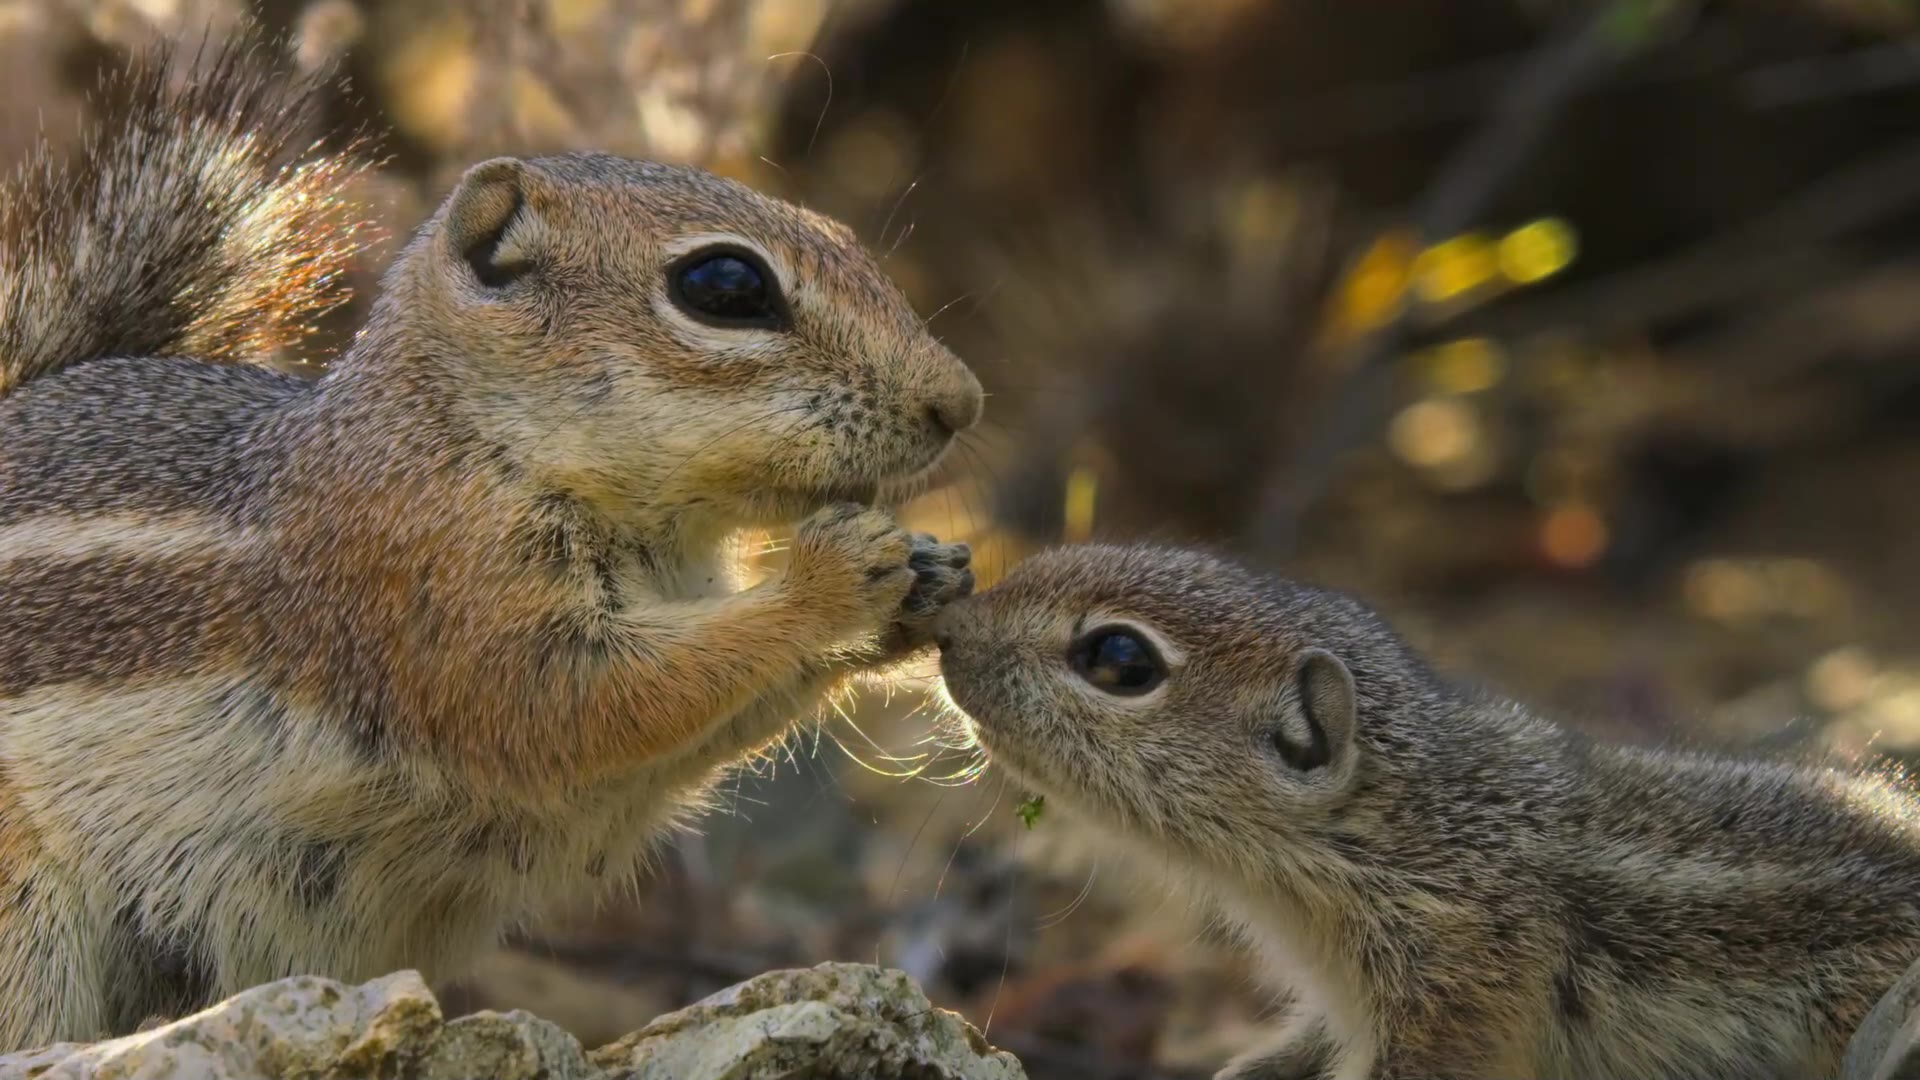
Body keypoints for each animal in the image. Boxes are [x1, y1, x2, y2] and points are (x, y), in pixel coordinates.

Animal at [0, 42, 983, 1045]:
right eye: (724, 287)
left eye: (846, 238)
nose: (961, 402)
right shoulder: (432, 589)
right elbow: (581, 702)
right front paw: (830, 578)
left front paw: (924, 581)